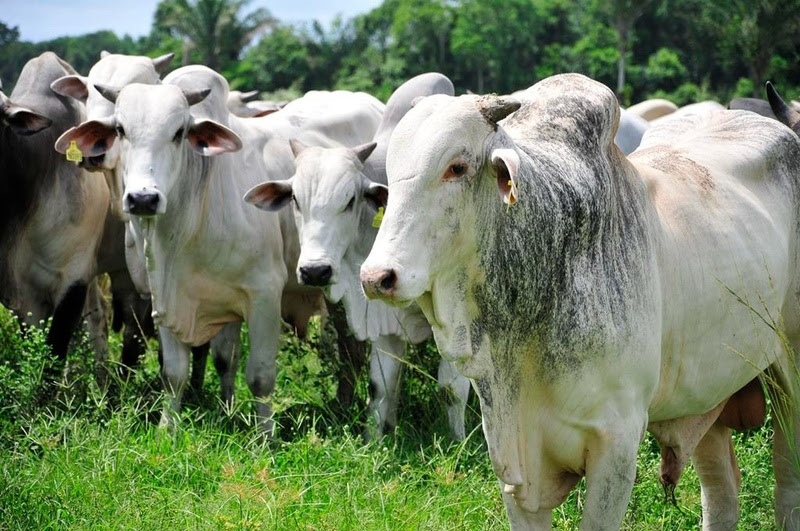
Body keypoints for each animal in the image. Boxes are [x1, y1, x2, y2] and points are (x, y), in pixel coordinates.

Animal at [244, 72, 472, 439]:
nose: (315, 271)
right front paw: (375, 439)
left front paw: (457, 442)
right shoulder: (381, 317)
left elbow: (451, 388)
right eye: (294, 199)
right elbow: (381, 387)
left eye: (350, 200)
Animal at [359, 73, 800, 529]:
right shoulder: (511, 454)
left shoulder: (617, 444)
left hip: (791, 369)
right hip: (707, 390)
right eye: (391, 172)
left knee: (786, 478)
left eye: (456, 167)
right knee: (722, 492)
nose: (377, 277)